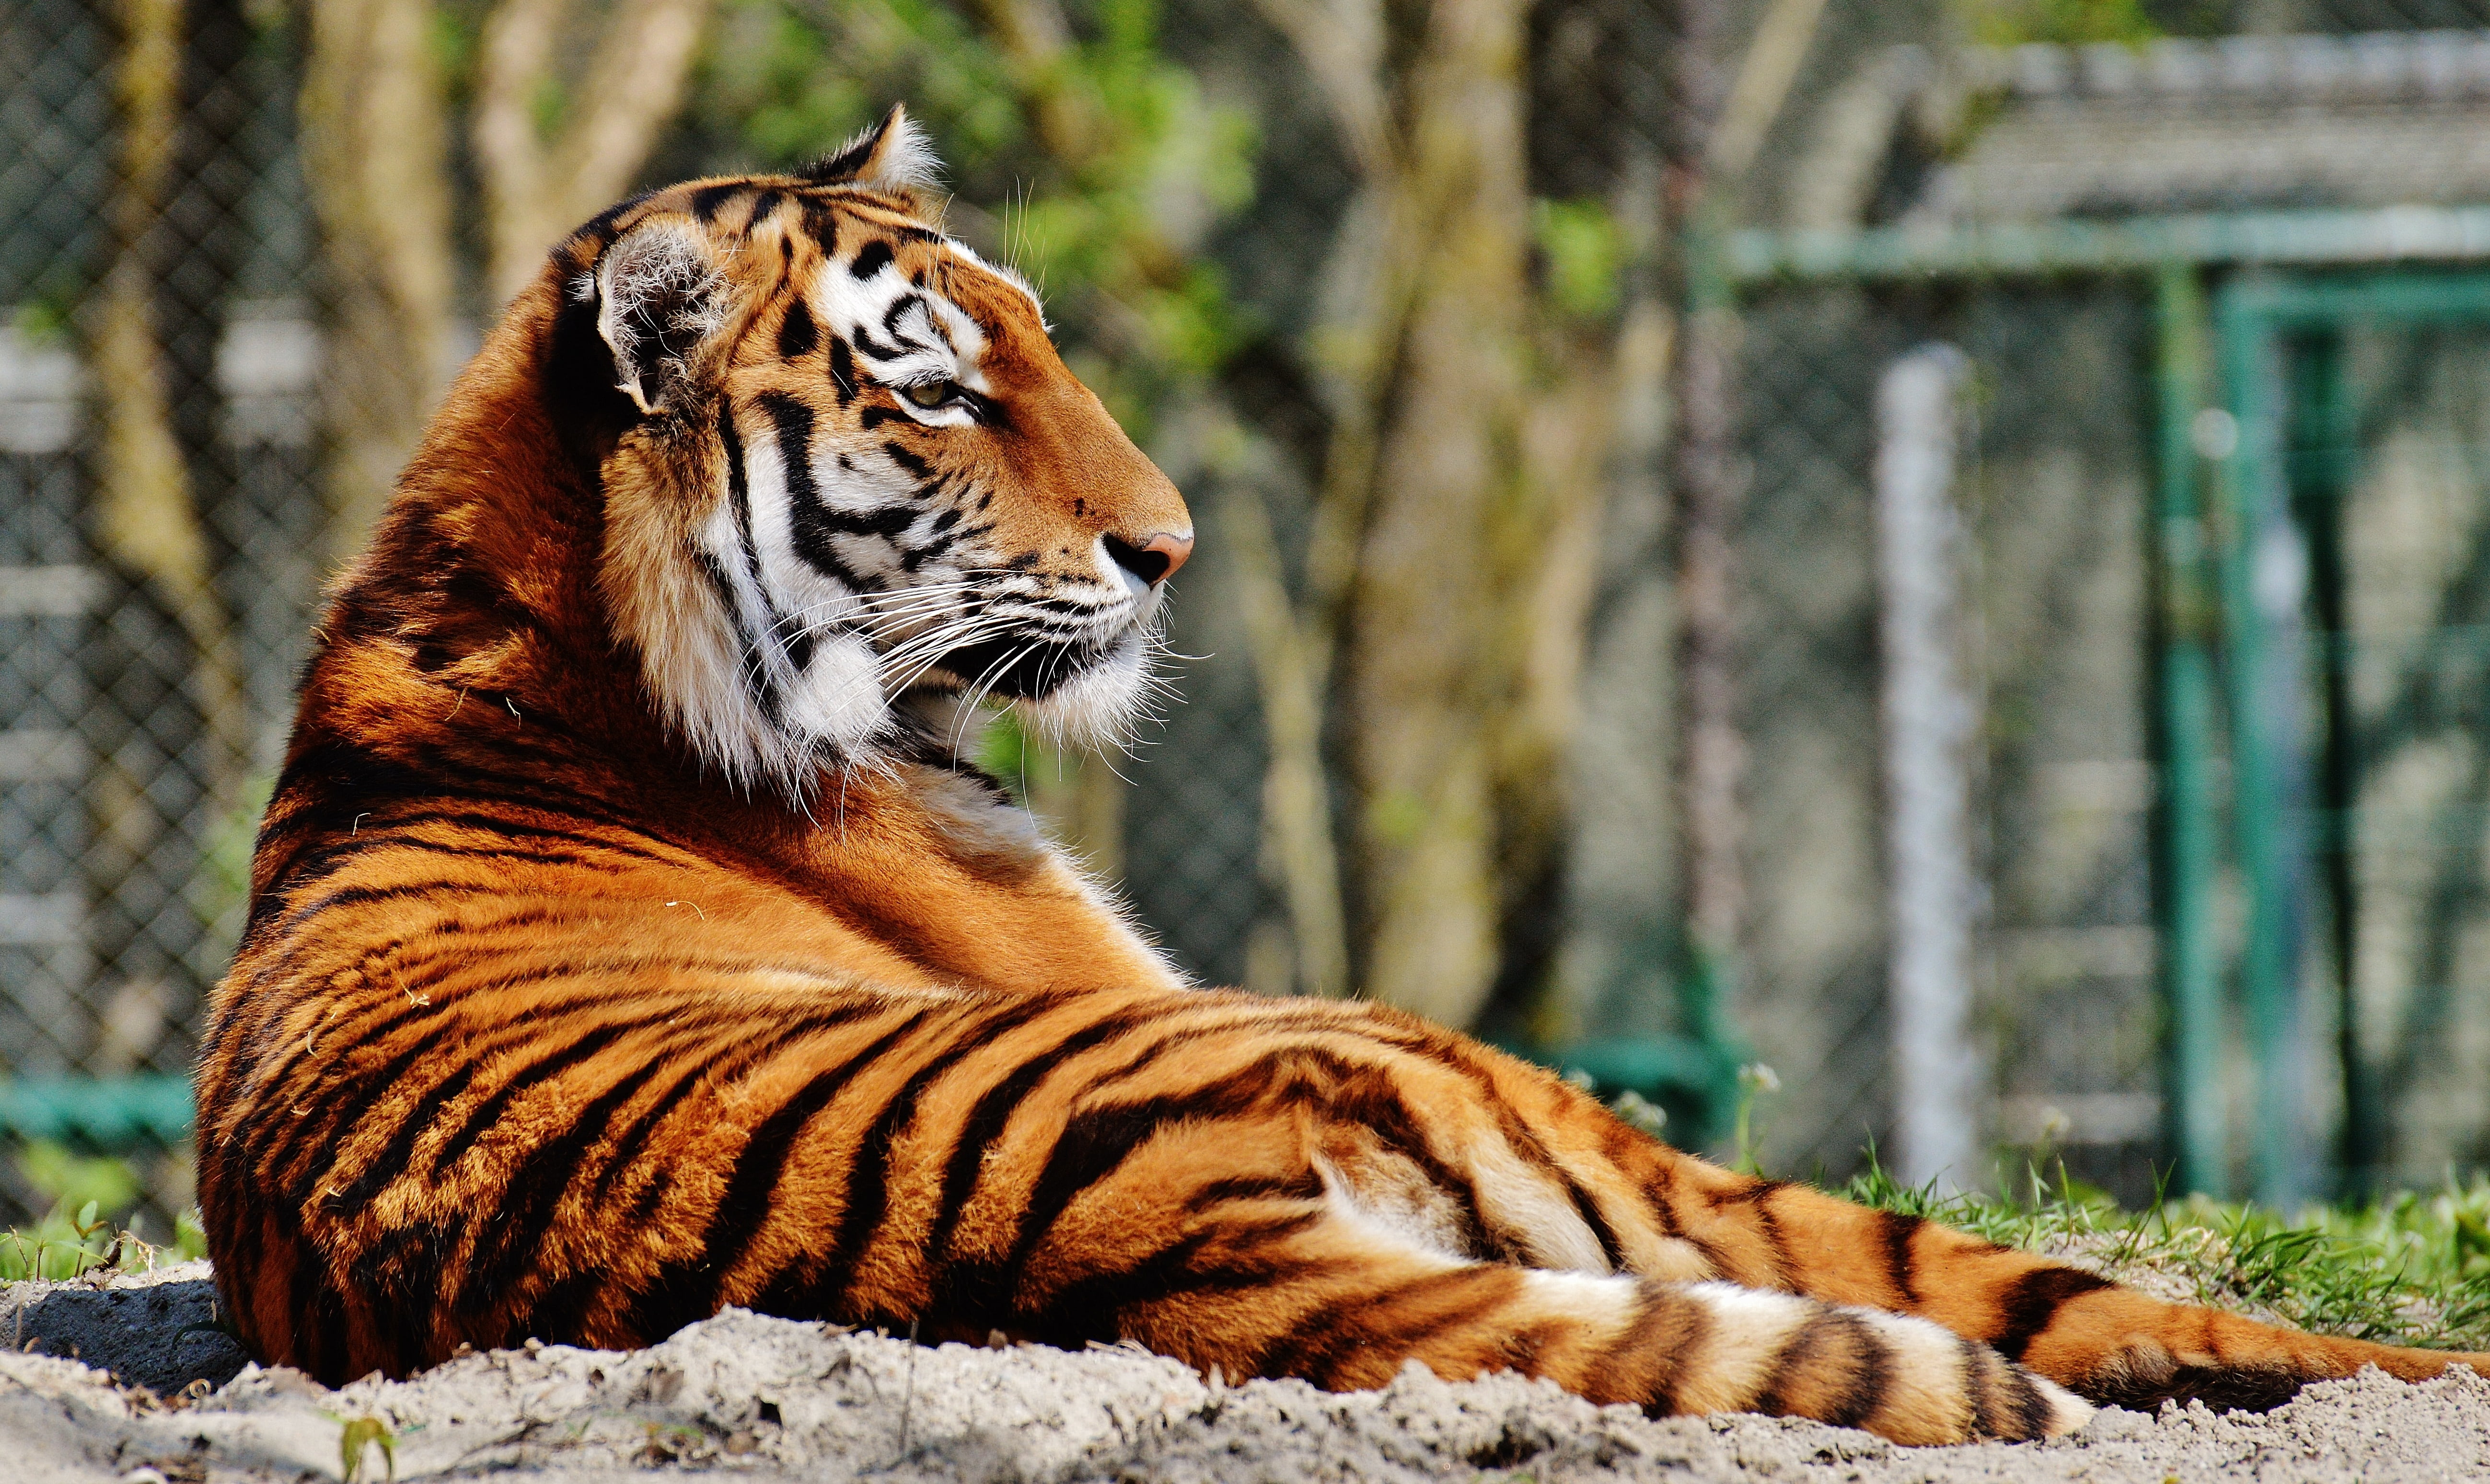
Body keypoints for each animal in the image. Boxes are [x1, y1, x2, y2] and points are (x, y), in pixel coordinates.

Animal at [194, 106, 2485, 1446]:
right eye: (935, 390)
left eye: (1040, 339)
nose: (1172, 544)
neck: (551, 626)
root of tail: (1110, 1229)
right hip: (1467, 1079)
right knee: (2011, 1287)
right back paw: (2402, 1379)